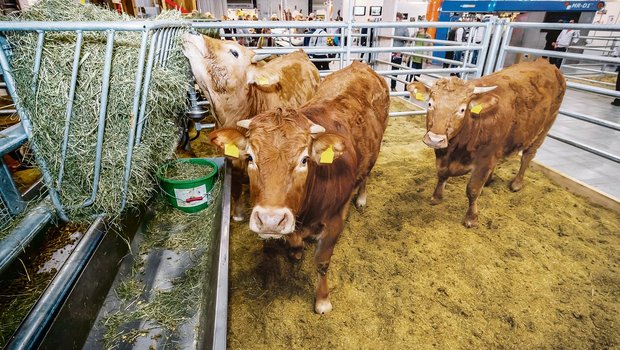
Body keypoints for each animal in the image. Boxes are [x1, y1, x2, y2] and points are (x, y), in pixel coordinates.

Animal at [182, 32, 320, 219]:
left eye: (234, 52)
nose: (193, 32)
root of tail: (299, 53)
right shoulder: (231, 162)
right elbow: (235, 188)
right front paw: (238, 214)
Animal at [211, 61, 390, 314]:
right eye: (250, 157)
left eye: (304, 159)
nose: (270, 220)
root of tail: (360, 65)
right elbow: (293, 249)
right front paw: (295, 256)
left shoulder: (333, 223)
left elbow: (322, 262)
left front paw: (323, 300)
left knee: (365, 174)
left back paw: (361, 199)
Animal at [406, 58, 568, 228]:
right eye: (430, 104)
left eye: (462, 109)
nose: (435, 139)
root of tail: (545, 62)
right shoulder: (443, 155)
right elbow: (442, 174)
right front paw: (436, 198)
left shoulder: (484, 160)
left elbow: (472, 190)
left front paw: (471, 218)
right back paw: (489, 180)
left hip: (544, 129)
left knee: (527, 156)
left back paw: (517, 183)